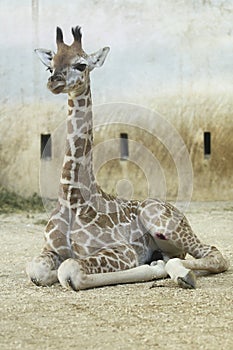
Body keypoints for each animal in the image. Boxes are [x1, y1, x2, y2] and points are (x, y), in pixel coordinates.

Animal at [26, 26, 228, 292]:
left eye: (81, 64)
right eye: (50, 67)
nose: (54, 82)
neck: (72, 198)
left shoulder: (123, 250)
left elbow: (69, 270)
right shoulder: (50, 249)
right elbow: (36, 270)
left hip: (163, 222)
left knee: (215, 254)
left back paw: (179, 273)